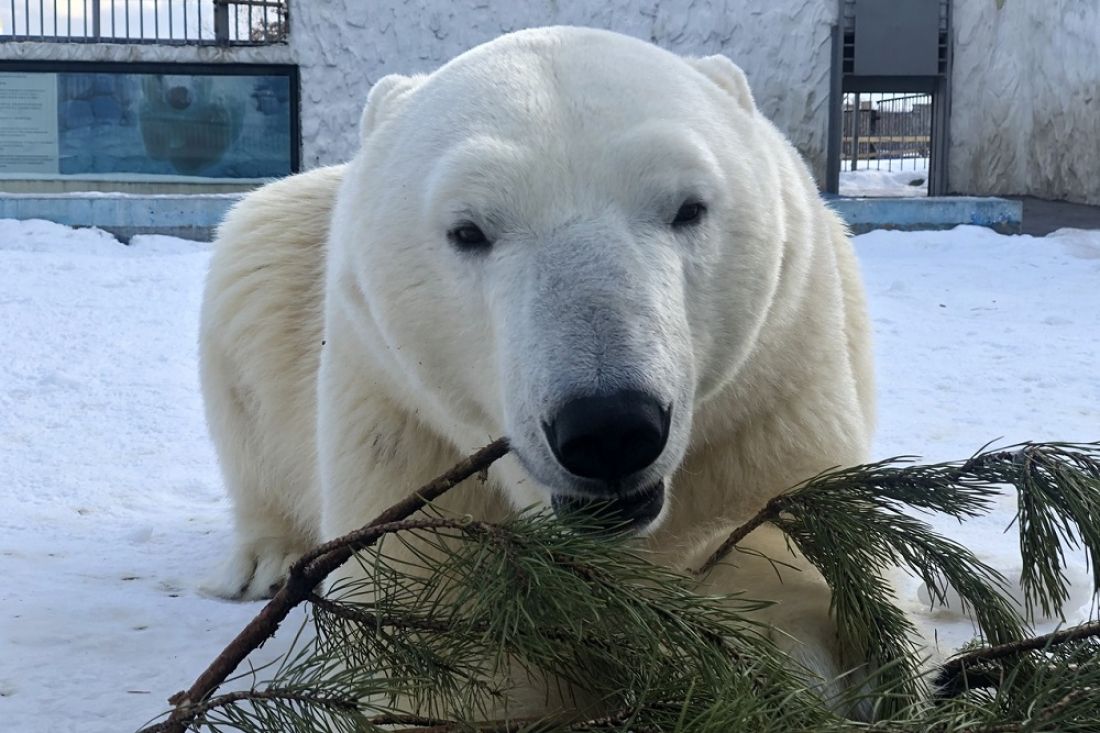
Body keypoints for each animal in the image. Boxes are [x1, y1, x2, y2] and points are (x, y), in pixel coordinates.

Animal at [200, 25, 875, 704]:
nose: (609, 429)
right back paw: (265, 561)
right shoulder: (400, 425)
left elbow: (786, 550)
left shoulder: (773, 386)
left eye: (690, 208)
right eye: (468, 230)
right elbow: (433, 623)